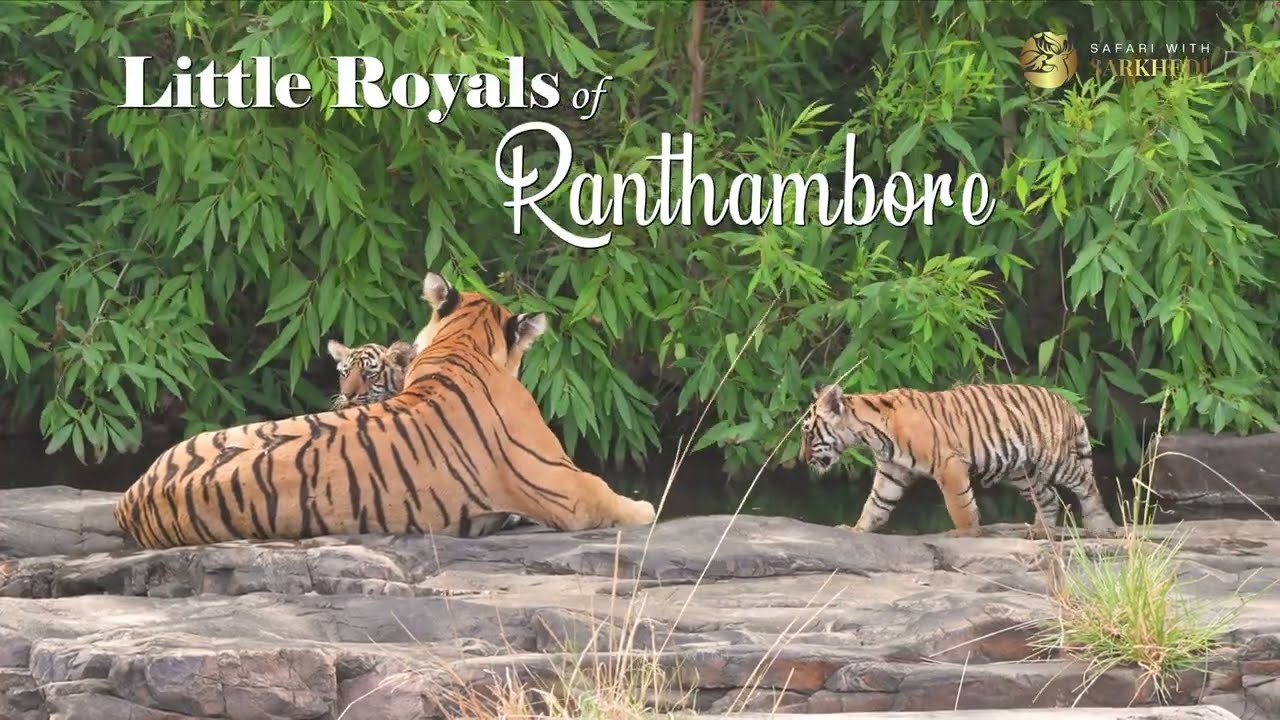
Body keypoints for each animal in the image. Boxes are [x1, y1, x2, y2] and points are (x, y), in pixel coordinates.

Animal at [799, 382, 1116, 536]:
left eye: (807, 433)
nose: (803, 459)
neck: (871, 432)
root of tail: (1068, 404)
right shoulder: (892, 471)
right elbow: (875, 505)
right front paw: (856, 529)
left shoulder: (948, 464)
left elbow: (959, 504)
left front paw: (965, 534)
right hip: (1022, 470)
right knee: (1049, 497)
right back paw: (1041, 532)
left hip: (1054, 459)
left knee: (1086, 483)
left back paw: (1101, 526)